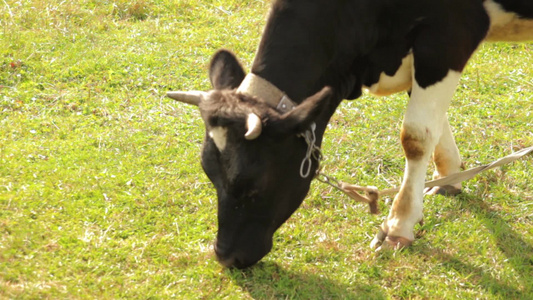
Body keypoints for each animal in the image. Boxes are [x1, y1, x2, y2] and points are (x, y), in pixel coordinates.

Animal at [167, 0, 532, 270]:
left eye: (253, 184)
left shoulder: (448, 35)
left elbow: (415, 135)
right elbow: (435, 123)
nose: (225, 256)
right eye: (209, 173)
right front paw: (450, 177)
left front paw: (398, 226)